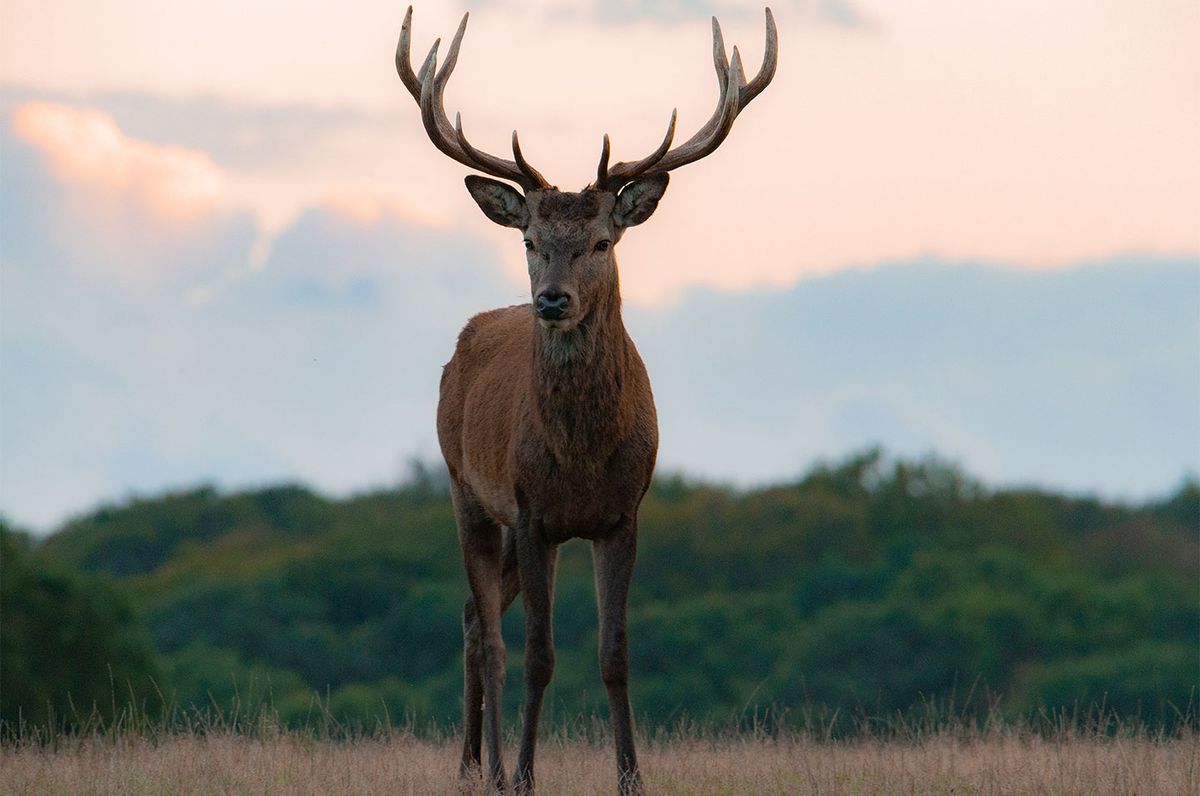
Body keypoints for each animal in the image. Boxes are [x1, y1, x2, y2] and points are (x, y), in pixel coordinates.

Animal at [396, 7, 777, 796]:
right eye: (532, 239)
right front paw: (527, 775)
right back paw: (487, 768)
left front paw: (632, 776)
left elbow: (615, 654)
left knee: (474, 618)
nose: (552, 300)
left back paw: (476, 765)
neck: (579, 454)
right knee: (489, 634)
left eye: (603, 240)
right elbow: (540, 656)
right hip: (465, 490)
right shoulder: (535, 512)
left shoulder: (621, 514)